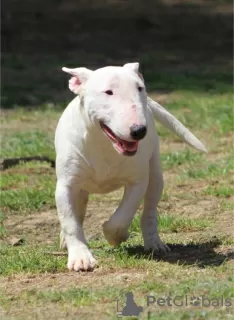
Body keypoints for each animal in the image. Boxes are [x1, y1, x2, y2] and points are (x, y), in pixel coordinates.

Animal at [54, 62, 207, 270]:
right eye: (108, 92)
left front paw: (115, 236)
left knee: (149, 212)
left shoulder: (137, 182)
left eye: (140, 88)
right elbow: (70, 221)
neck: (104, 145)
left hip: (155, 175)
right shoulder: (66, 185)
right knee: (78, 208)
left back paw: (154, 243)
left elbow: (122, 216)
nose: (139, 131)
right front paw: (81, 257)